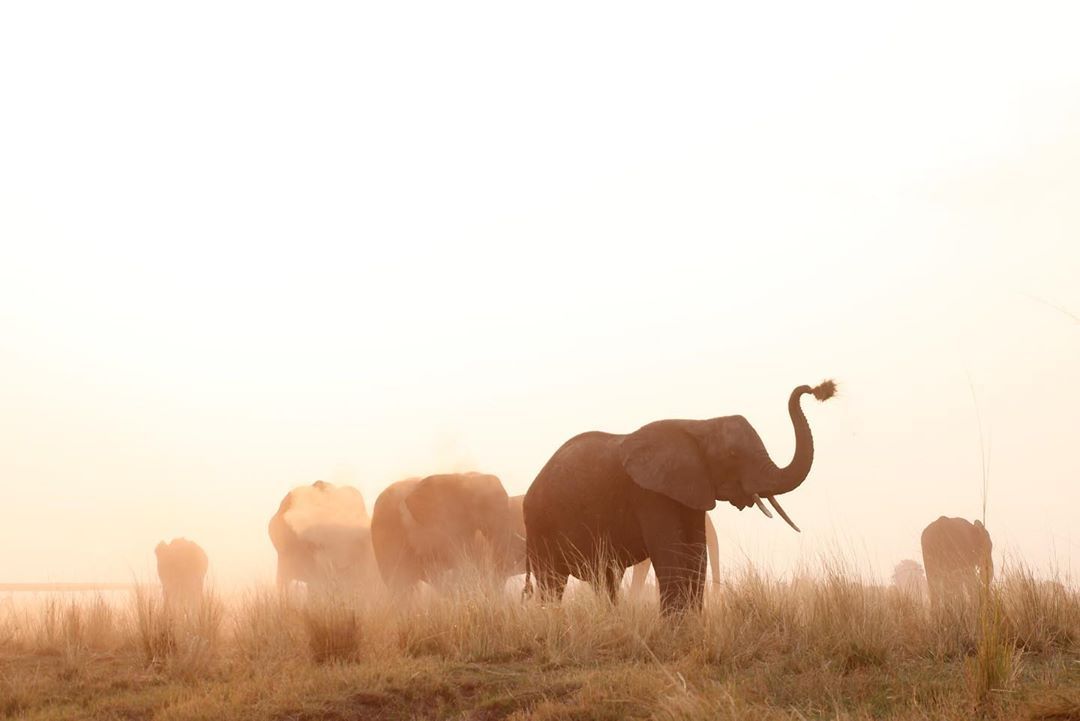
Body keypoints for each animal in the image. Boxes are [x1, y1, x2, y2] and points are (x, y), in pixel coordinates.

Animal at [523, 380, 836, 614]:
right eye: (733, 454)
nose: (816, 389)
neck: (699, 426)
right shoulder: (649, 494)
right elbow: (671, 551)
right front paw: (675, 627)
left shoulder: (692, 489)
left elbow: (696, 553)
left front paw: (691, 624)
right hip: (540, 525)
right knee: (553, 582)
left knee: (605, 579)